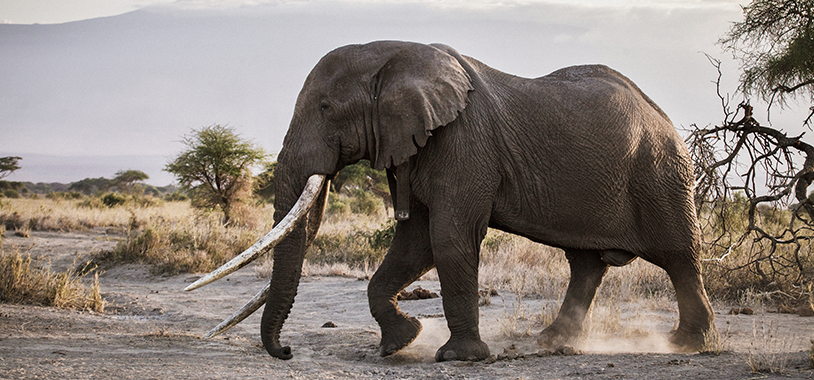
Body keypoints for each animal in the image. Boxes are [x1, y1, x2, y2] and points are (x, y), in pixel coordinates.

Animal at [185, 39, 712, 362]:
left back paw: (685, 343)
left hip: (660, 173)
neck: (395, 54)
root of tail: (665, 118)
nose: (287, 352)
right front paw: (400, 343)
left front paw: (457, 358)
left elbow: (449, 236)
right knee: (585, 263)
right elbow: (415, 243)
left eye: (327, 108)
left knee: (678, 255)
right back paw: (551, 341)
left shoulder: (463, 141)